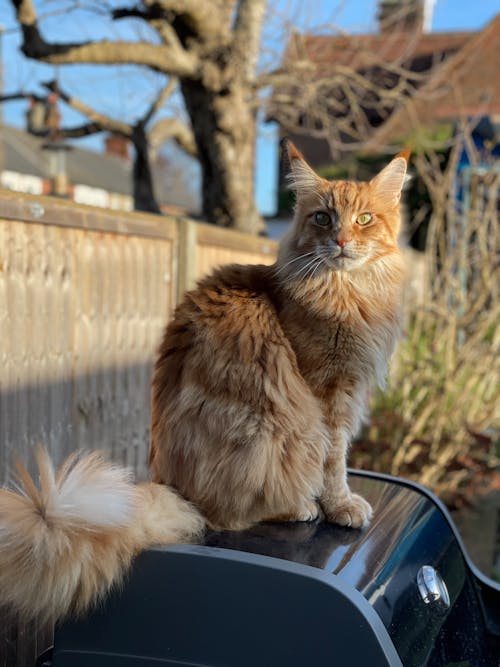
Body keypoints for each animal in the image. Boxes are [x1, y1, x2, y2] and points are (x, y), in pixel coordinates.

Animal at [0, 142, 406, 628]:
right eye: (323, 218)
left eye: (364, 219)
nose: (341, 241)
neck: (348, 291)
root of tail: (175, 488)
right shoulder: (327, 393)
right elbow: (334, 461)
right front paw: (340, 505)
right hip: (277, 430)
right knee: (230, 514)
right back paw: (300, 507)